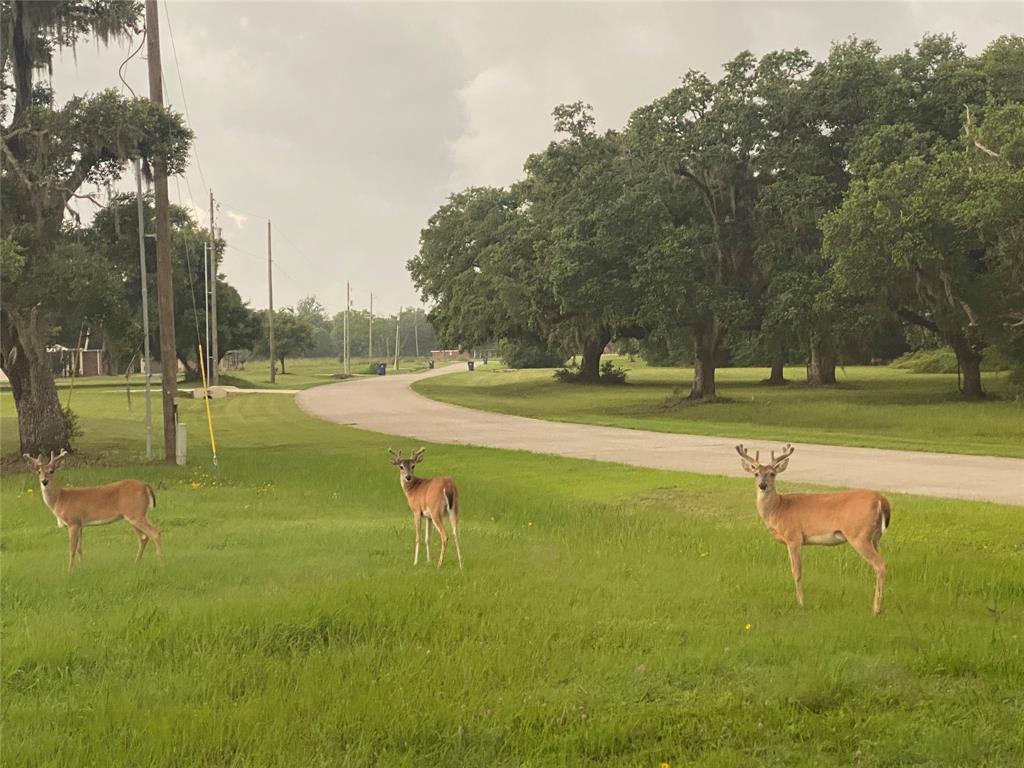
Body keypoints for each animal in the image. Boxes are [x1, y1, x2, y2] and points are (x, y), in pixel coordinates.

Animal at [22, 450, 162, 573]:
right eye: (38, 471)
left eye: (52, 471)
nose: (44, 481)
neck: (59, 499)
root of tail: (146, 486)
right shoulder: (80, 524)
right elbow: (80, 548)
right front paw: (82, 567)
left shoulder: (73, 521)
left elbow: (72, 549)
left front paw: (69, 570)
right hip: (133, 515)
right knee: (144, 537)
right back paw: (136, 563)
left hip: (136, 513)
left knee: (155, 533)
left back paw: (161, 562)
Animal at [733, 444, 892, 614]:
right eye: (756, 473)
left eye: (772, 474)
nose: (763, 485)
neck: (779, 508)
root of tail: (881, 499)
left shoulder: (794, 537)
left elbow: (796, 572)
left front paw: (801, 603)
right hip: (875, 538)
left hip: (858, 535)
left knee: (880, 564)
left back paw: (875, 610)